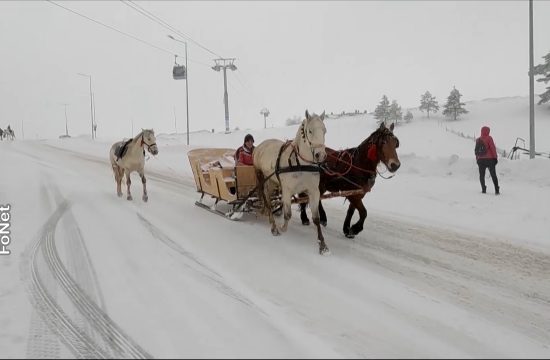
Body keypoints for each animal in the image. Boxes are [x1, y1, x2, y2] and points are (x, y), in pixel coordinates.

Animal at [256, 111, 330, 255]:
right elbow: (288, 214)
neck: (301, 164)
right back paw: (274, 227)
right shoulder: (287, 190)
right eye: (310, 131)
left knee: (267, 199)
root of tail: (260, 146)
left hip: (271, 181)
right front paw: (282, 227)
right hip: (261, 177)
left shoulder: (314, 191)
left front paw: (322, 244)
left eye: (325, 130)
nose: (321, 155)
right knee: (266, 199)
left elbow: (316, 218)